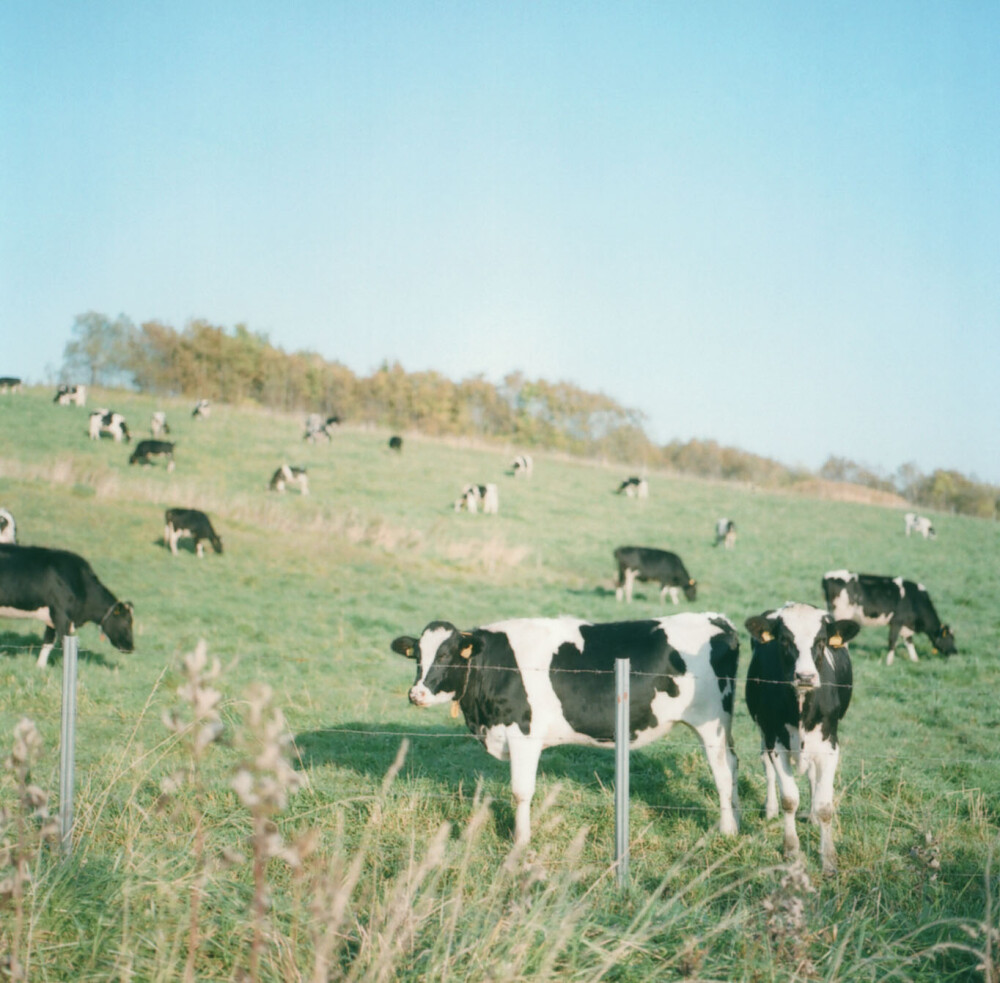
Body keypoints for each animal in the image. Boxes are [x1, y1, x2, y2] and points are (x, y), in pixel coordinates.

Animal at [0, 540, 134, 672]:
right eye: (126, 622)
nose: (131, 647)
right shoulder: (61, 615)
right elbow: (65, 645)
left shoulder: (52, 618)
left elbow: (48, 642)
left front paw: (40, 667)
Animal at [390, 612, 744, 840]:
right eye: (417, 655)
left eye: (447, 655)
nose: (416, 693)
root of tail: (718, 620)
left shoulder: (523, 733)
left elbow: (521, 791)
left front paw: (521, 840)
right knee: (733, 764)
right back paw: (738, 821)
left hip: (711, 721)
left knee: (722, 770)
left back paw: (727, 830)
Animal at [744, 608, 860, 876]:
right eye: (784, 640)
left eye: (821, 642)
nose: (805, 676)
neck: (802, 708)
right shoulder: (775, 741)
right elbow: (789, 799)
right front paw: (790, 849)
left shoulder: (830, 746)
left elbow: (825, 805)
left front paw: (828, 859)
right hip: (762, 732)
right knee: (767, 769)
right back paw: (770, 809)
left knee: (812, 777)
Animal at [824, 568, 956, 668]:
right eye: (949, 638)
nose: (955, 652)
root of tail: (829, 575)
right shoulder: (896, 622)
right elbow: (892, 641)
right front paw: (889, 662)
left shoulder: (906, 626)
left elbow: (909, 642)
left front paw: (915, 660)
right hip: (841, 614)